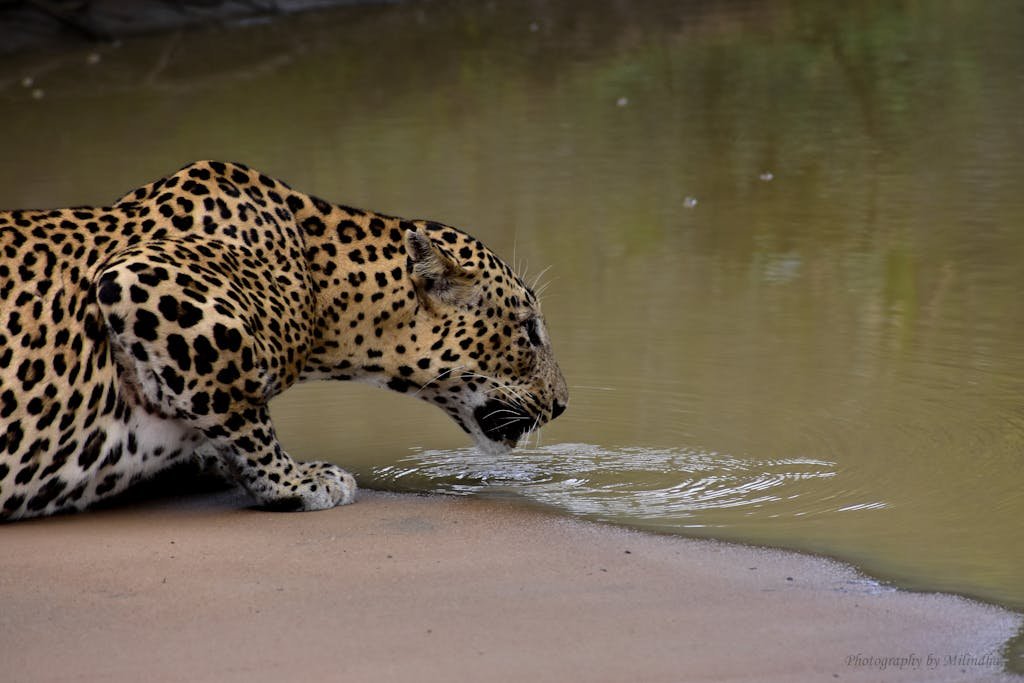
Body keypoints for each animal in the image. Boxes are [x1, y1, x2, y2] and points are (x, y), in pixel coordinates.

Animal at [0, 161, 569, 524]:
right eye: (529, 330)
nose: (563, 405)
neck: (323, 290)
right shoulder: (144, 281)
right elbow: (239, 407)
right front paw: (298, 481)